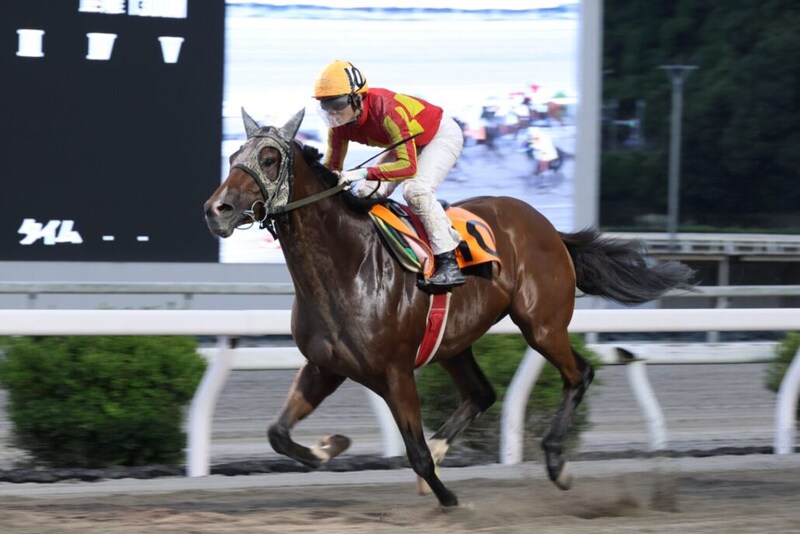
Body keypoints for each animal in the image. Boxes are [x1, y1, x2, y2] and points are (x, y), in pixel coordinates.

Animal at [203, 108, 695, 507]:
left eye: (269, 158)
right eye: (233, 157)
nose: (216, 209)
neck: (346, 267)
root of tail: (549, 227)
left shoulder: (396, 373)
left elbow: (416, 453)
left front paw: (451, 500)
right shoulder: (324, 367)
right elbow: (278, 434)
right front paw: (330, 445)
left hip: (541, 324)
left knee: (579, 374)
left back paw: (557, 463)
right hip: (455, 341)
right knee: (481, 393)